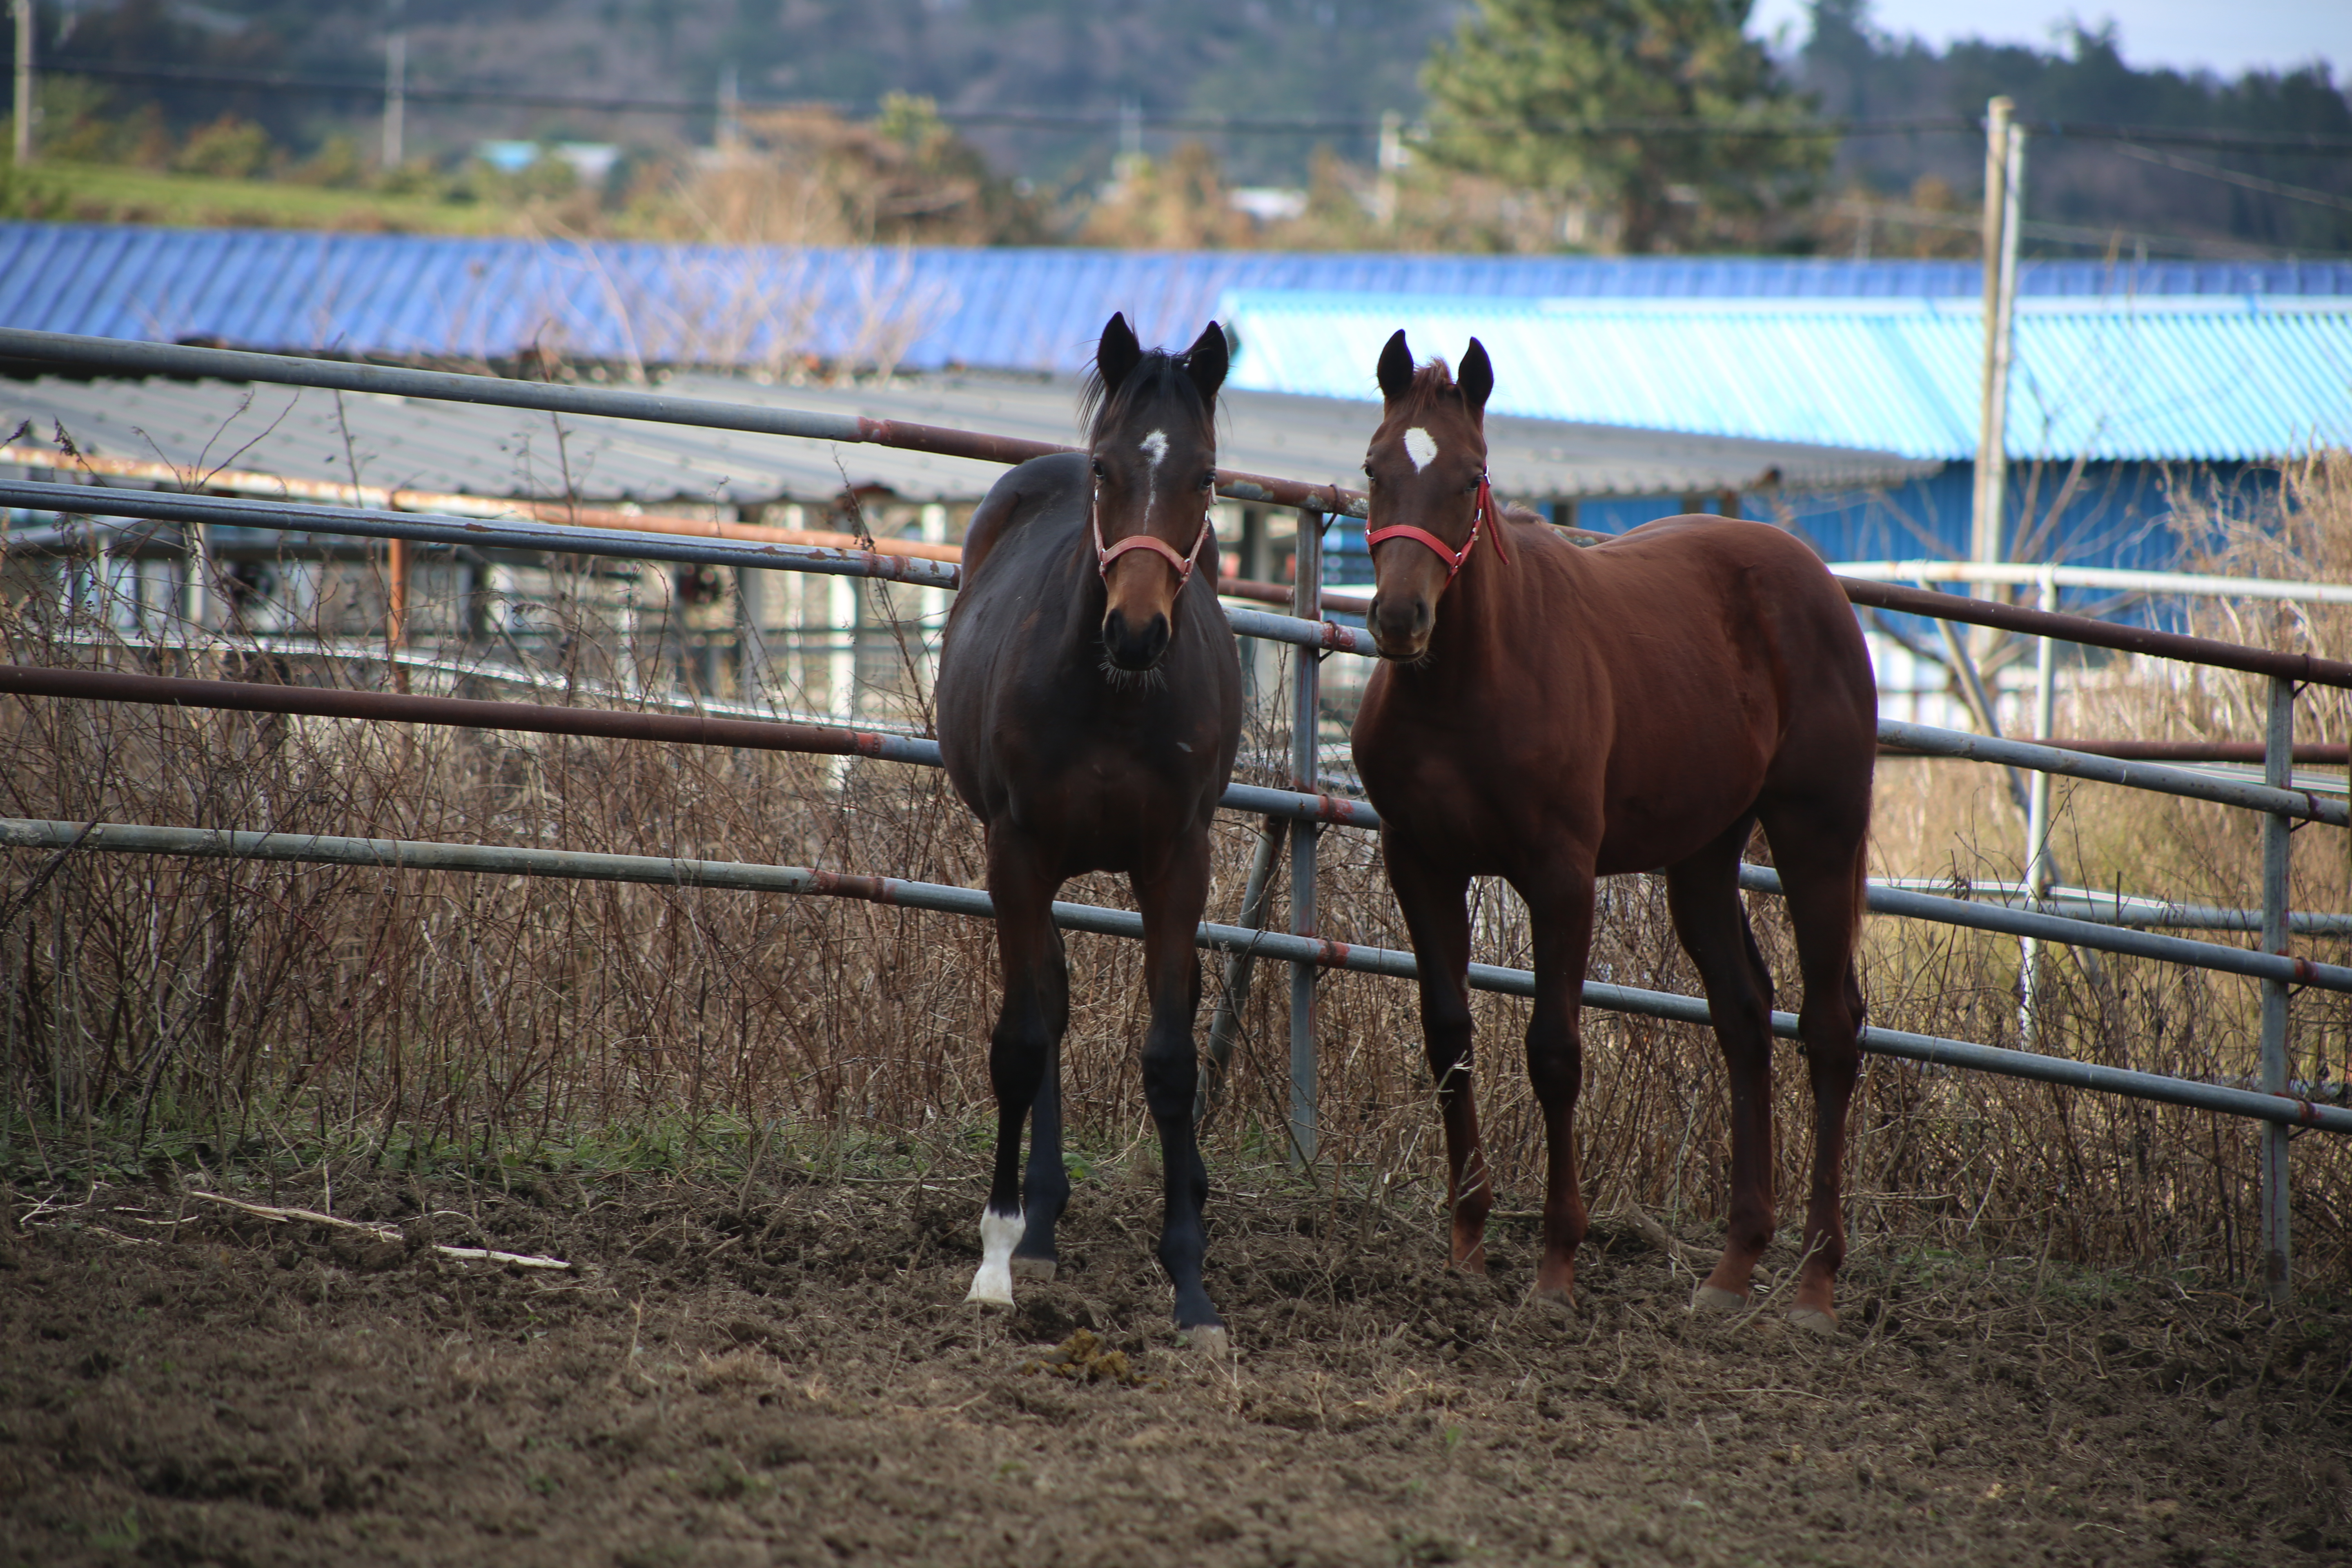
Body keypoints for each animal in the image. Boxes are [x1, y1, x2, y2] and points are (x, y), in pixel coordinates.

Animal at [936, 310, 1251, 1354]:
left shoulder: (1178, 861)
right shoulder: (1018, 850)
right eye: (1110, 469)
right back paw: (1035, 1226)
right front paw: (996, 1257)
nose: (1136, 632)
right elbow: (1022, 1041)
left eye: (1205, 475)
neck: (1113, 697)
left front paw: (1191, 1283)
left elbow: (1170, 1057)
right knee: (1047, 1005)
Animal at [1364, 331, 1872, 1335]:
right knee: (1743, 1016)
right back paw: (1732, 1269)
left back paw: (1815, 1285)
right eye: (1373, 468)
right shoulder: (1421, 863)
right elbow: (1449, 1040)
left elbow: (1555, 1055)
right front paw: (1467, 1247)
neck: (1469, 685)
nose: (1401, 620)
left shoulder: (1561, 880)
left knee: (1831, 1029)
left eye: (1469, 477)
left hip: (1818, 839)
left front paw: (1556, 1270)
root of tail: (1817, 582)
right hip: (1705, 854)